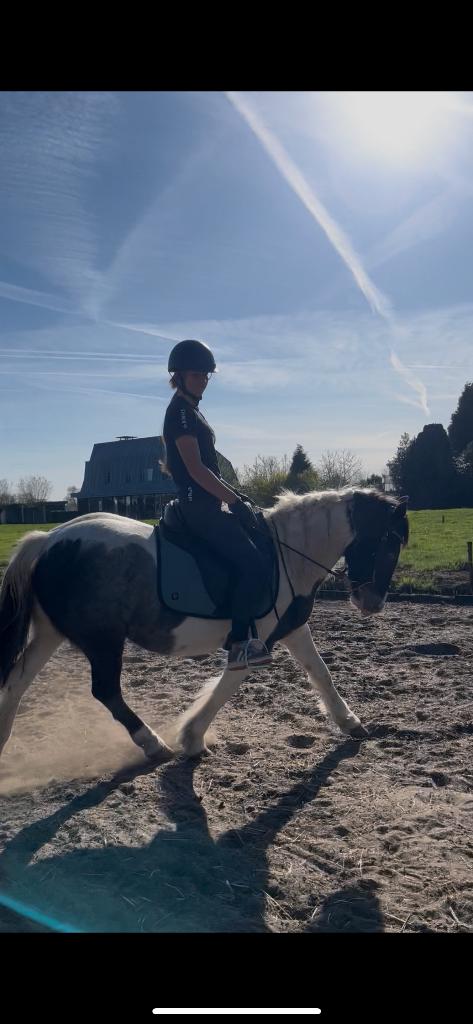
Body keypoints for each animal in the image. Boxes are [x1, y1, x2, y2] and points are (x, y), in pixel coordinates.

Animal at [0, 488, 408, 763]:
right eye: (390, 542)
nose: (373, 603)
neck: (288, 556)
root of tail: (49, 539)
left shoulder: (293, 629)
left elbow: (320, 671)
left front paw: (350, 723)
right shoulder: (255, 640)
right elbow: (228, 684)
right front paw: (192, 738)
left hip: (51, 634)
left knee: (17, 683)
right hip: (103, 640)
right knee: (106, 692)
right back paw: (154, 744)